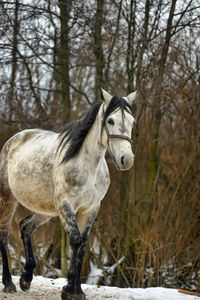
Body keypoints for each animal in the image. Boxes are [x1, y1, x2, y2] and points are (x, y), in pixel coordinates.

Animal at [0, 87, 138, 300]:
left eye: (132, 122)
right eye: (110, 121)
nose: (127, 159)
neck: (88, 168)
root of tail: (13, 140)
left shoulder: (90, 209)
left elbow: (82, 247)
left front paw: (77, 291)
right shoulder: (66, 206)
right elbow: (75, 240)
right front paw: (68, 289)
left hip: (46, 210)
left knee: (25, 227)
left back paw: (26, 278)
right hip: (8, 200)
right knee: (4, 236)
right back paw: (9, 283)